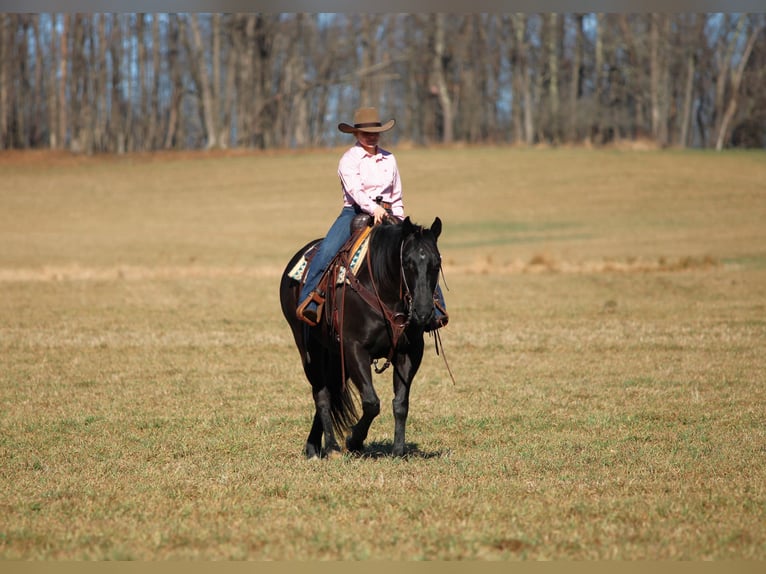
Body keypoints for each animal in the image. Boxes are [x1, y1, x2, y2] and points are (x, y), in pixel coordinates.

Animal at [279, 216, 443, 459]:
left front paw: (398, 450)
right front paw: (354, 440)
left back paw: (314, 446)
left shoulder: (410, 352)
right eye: (406, 263)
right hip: (310, 351)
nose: (423, 312)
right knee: (322, 394)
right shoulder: (355, 349)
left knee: (331, 390)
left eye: (437, 263)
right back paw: (330, 448)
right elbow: (371, 402)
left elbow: (401, 403)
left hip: (335, 356)